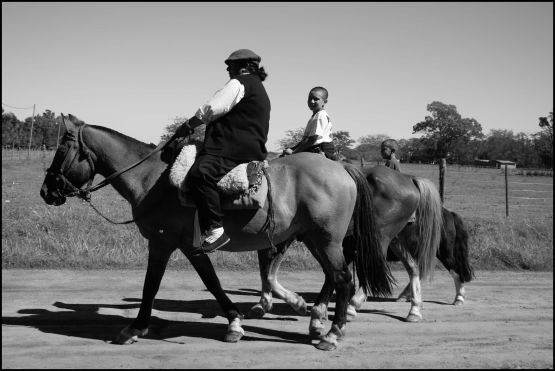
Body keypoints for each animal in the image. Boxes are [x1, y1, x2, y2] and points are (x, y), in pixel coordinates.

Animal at [39, 117, 396, 352]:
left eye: (62, 149)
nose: (46, 191)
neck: (153, 179)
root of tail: (343, 168)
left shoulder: (162, 242)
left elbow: (151, 286)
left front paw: (134, 327)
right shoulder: (190, 247)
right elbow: (212, 283)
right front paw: (236, 322)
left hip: (326, 240)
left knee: (343, 279)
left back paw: (332, 332)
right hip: (313, 238)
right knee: (332, 278)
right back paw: (316, 317)